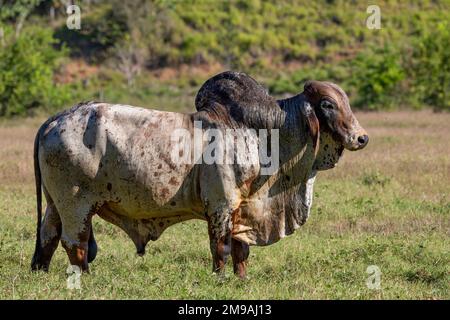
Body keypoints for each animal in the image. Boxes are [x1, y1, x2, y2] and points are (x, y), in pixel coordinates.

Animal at [32, 71, 370, 276]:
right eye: (327, 104)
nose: (361, 138)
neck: (262, 133)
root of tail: (55, 118)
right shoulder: (221, 205)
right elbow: (221, 248)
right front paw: (221, 280)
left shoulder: (241, 208)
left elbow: (241, 250)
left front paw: (241, 280)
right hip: (76, 204)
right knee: (74, 243)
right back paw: (83, 279)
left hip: (55, 204)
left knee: (47, 236)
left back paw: (43, 274)